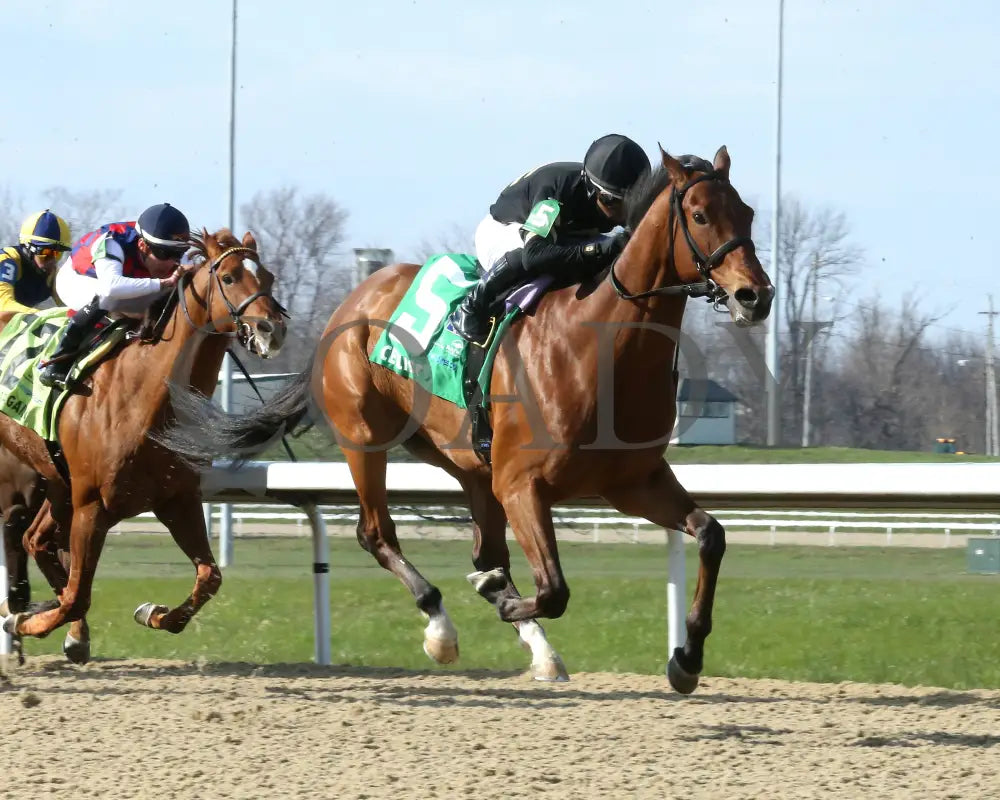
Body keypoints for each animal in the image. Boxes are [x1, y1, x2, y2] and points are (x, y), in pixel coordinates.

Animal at [0, 230, 288, 644]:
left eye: (269, 277)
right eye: (229, 277)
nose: (272, 330)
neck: (143, 397)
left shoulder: (177, 499)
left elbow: (209, 578)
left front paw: (154, 613)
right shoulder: (92, 506)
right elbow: (77, 596)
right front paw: (24, 620)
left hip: (55, 479)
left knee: (35, 539)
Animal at [164, 147, 772, 692]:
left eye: (747, 214)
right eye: (700, 216)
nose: (756, 295)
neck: (600, 346)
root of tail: (348, 304)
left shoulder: (631, 481)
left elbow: (711, 535)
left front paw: (687, 658)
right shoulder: (523, 484)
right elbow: (553, 590)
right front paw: (501, 603)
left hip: (465, 460)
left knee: (482, 548)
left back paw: (527, 635)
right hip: (366, 440)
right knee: (376, 533)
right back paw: (442, 626)